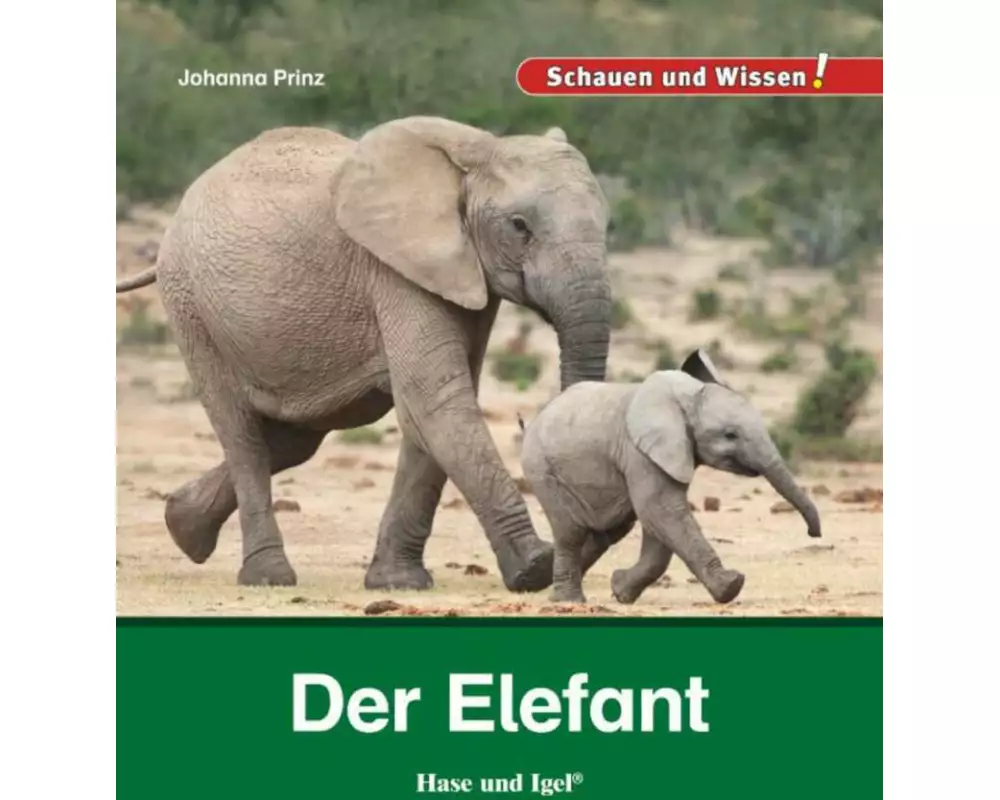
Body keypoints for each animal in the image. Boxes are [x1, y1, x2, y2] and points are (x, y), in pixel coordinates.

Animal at [115, 116, 613, 591]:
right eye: (519, 227)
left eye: (607, 226)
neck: (476, 151)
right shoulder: (395, 271)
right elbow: (435, 402)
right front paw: (535, 569)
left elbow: (432, 411)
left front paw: (398, 582)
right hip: (192, 307)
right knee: (242, 434)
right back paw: (267, 577)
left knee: (295, 439)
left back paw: (183, 526)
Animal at [519, 349, 822, 605]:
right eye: (730, 435)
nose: (813, 533)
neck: (686, 397)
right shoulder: (640, 452)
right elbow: (662, 510)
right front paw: (732, 585)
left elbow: (658, 525)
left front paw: (621, 591)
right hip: (542, 468)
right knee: (571, 532)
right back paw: (568, 601)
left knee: (607, 530)